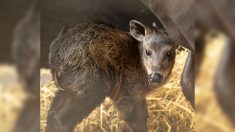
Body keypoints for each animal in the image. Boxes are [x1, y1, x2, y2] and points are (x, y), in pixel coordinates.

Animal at [46, 20, 176, 131]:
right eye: (148, 51)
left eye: (169, 53)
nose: (156, 76)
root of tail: (54, 57)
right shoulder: (126, 92)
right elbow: (134, 119)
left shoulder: (138, 96)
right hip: (92, 86)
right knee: (62, 118)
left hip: (70, 87)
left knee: (52, 111)